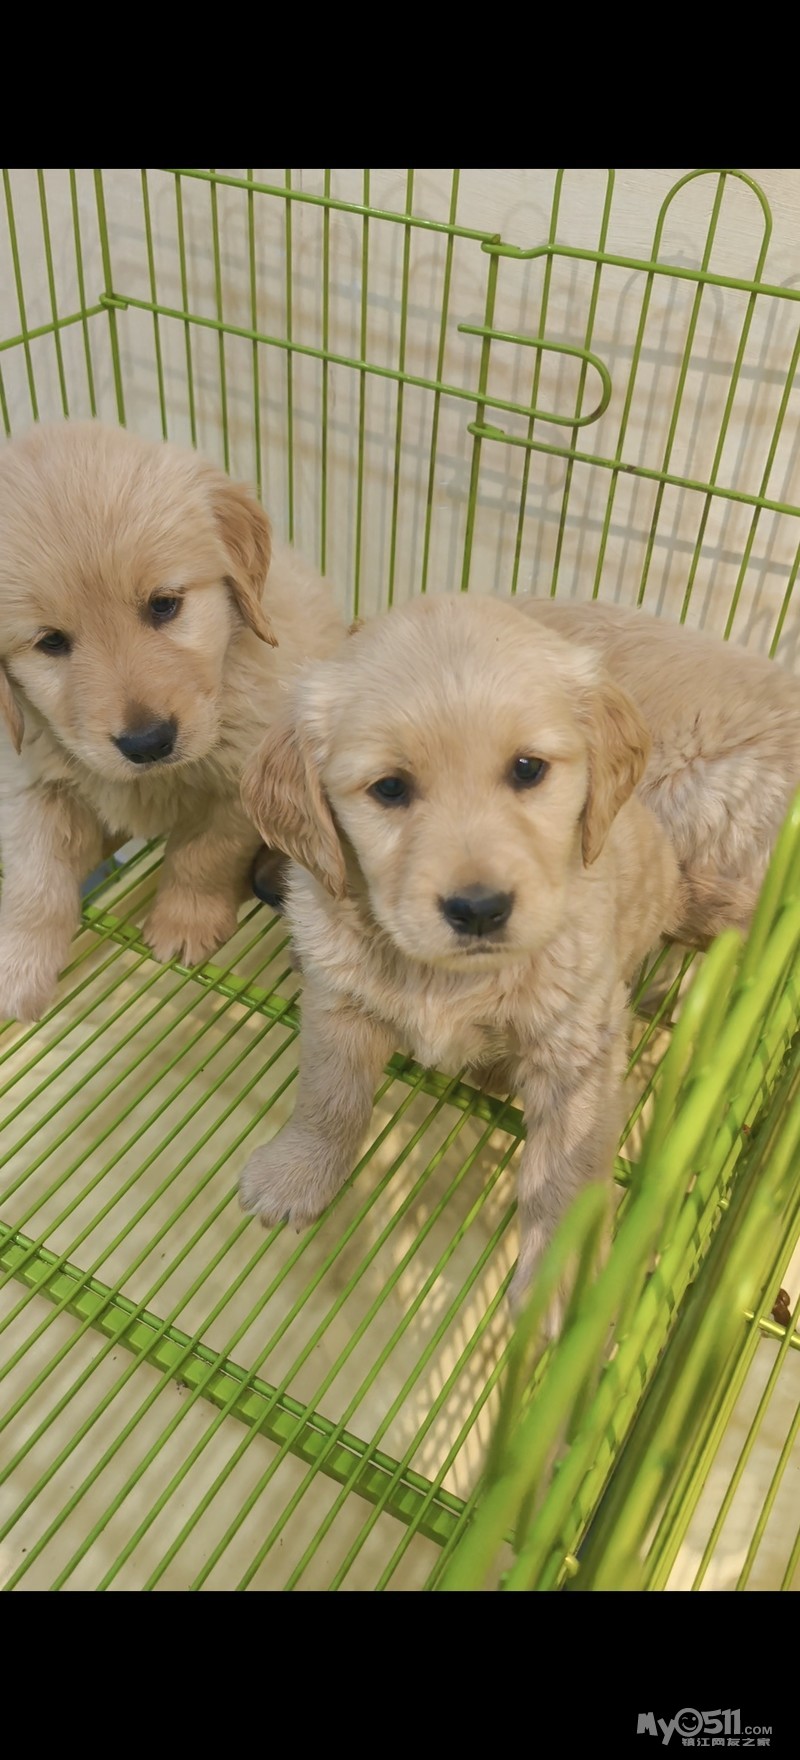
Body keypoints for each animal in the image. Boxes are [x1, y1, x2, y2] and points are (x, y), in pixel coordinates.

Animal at [0, 421, 345, 1022]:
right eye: (50, 642)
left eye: (164, 605)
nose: (148, 742)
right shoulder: (28, 780)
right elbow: (33, 878)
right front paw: (19, 966)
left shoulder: (239, 785)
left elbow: (201, 856)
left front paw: (185, 922)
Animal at [238, 594, 685, 1316]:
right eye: (390, 788)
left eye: (528, 769)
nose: (479, 909)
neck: (447, 978)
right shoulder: (340, 1007)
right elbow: (329, 1098)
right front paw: (297, 1171)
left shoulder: (575, 1057)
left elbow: (563, 1177)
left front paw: (555, 1290)